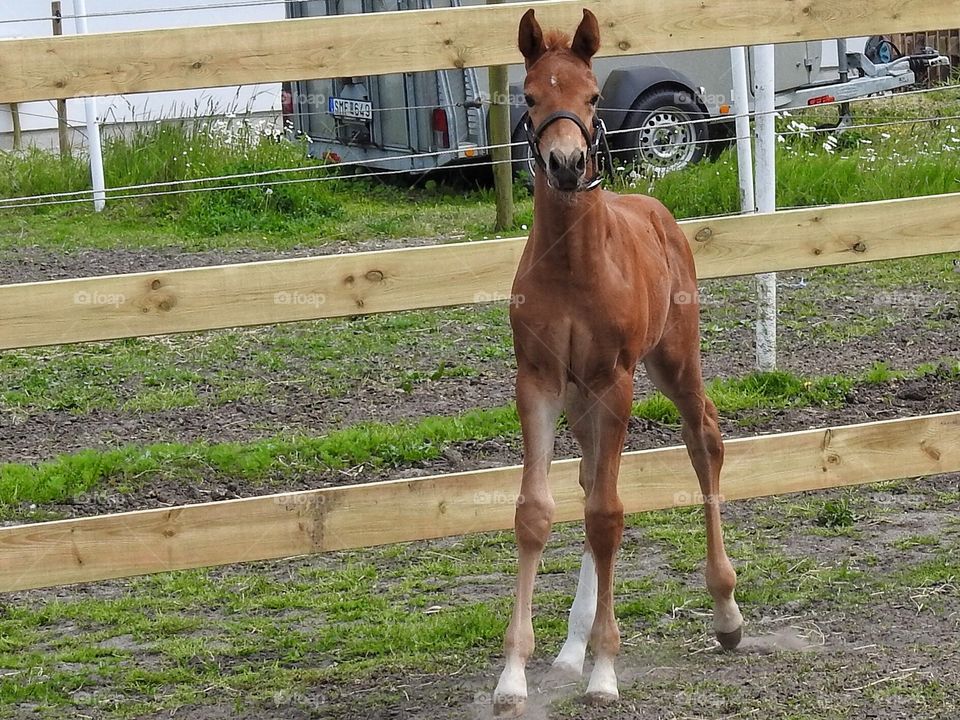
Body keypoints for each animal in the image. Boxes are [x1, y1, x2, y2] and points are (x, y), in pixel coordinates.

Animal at [492, 8, 748, 716]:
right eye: (530, 97)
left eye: (590, 96)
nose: (566, 163)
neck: (575, 263)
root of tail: (653, 204)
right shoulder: (539, 381)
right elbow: (537, 511)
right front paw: (514, 676)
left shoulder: (616, 380)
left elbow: (608, 516)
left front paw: (605, 671)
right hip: (582, 397)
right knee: (587, 481)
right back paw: (570, 647)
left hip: (671, 360)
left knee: (703, 438)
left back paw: (726, 611)